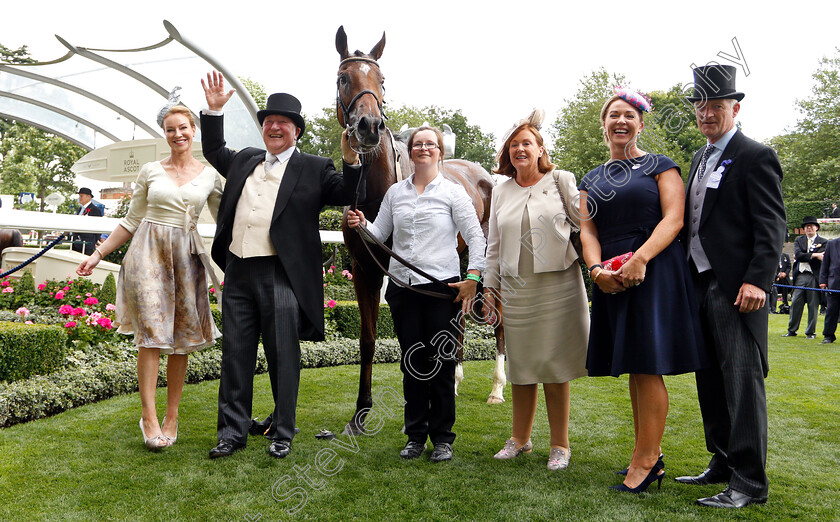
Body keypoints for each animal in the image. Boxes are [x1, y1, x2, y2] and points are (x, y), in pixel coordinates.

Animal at [334, 24, 506, 432]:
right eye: (344, 77)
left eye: (382, 79)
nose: (369, 126)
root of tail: (485, 175)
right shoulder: (364, 269)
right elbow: (368, 339)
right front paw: (360, 414)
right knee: (458, 314)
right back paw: (455, 377)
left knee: (499, 320)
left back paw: (497, 388)